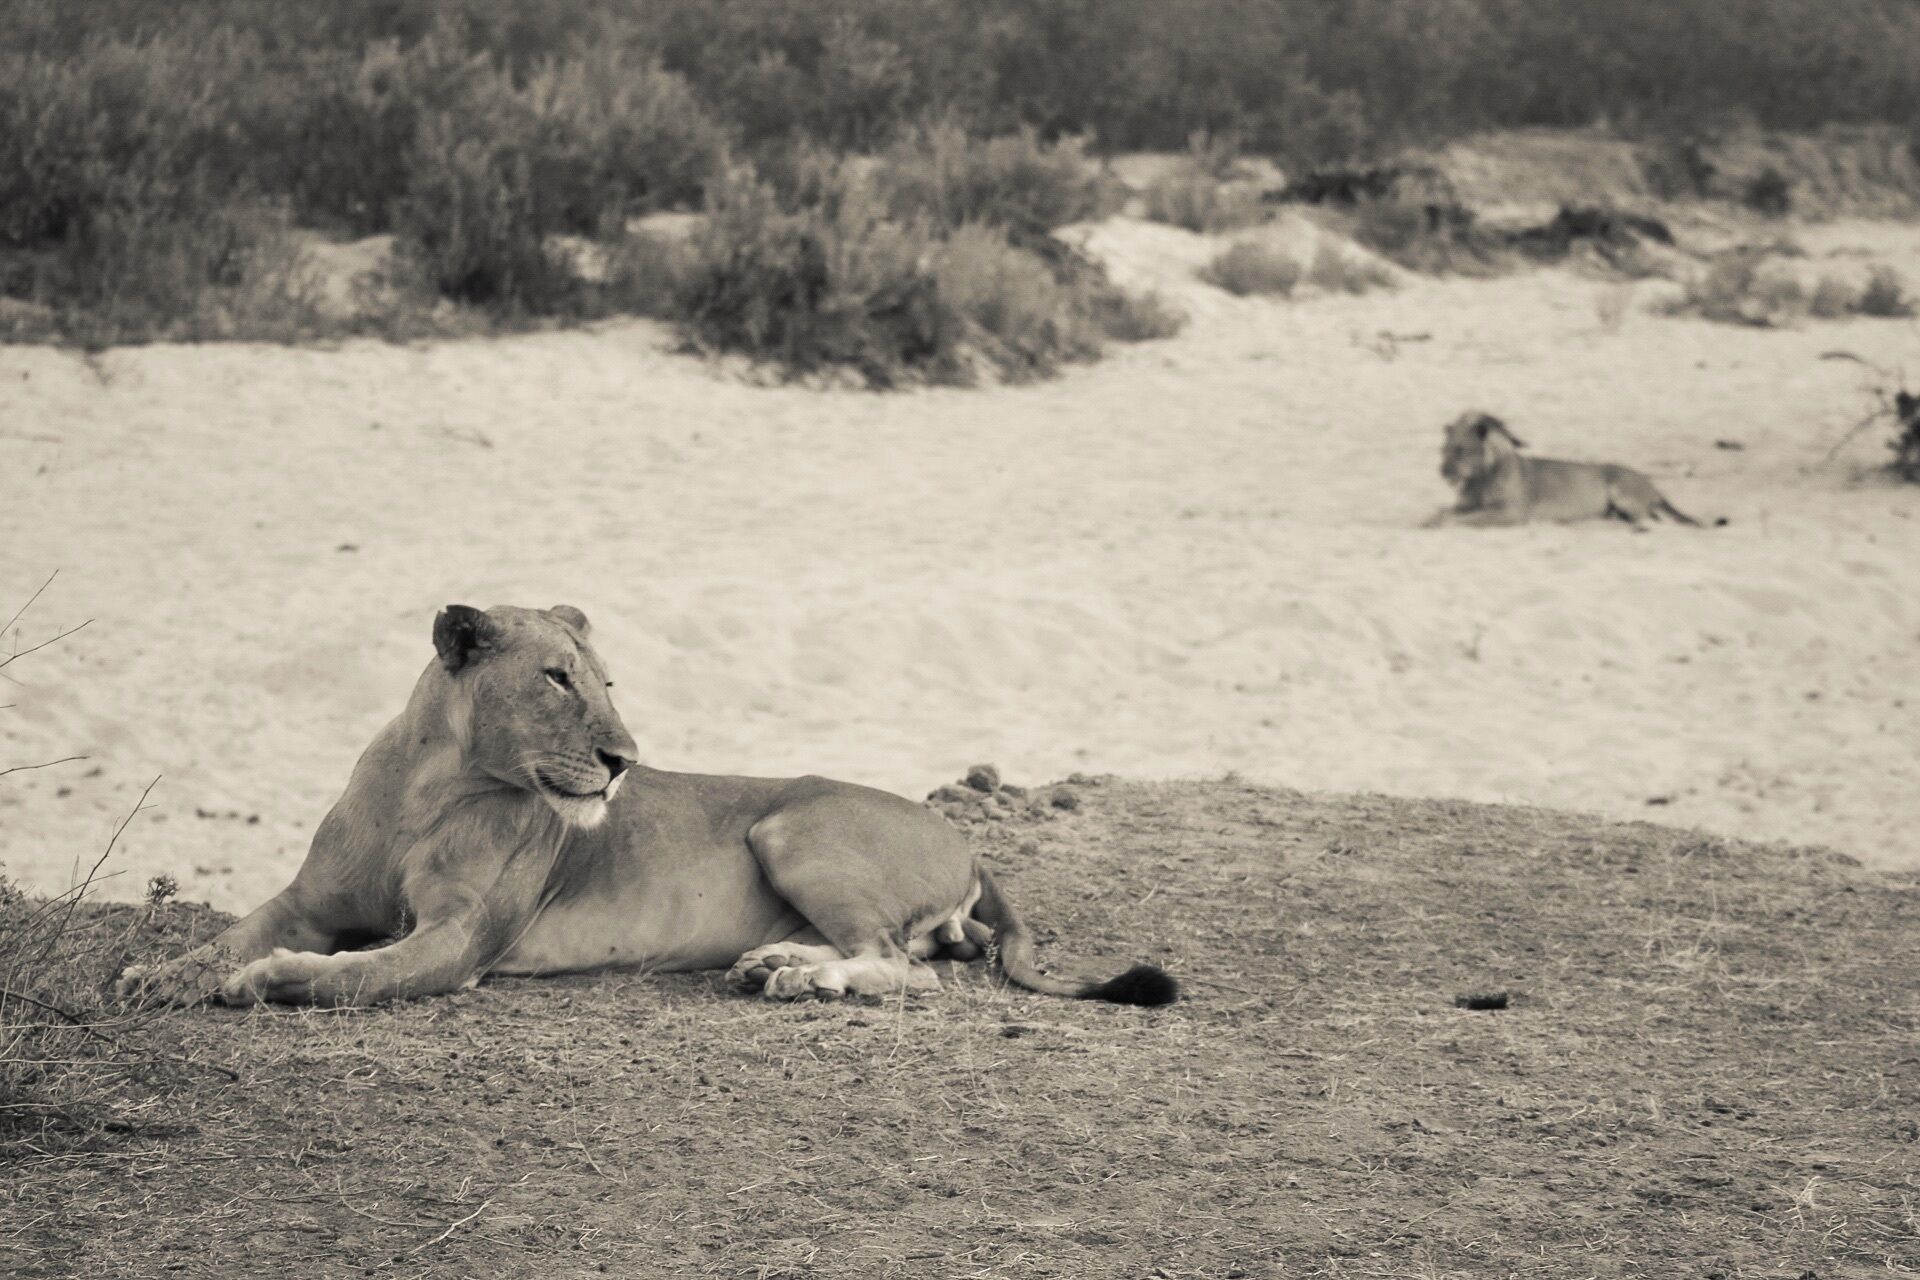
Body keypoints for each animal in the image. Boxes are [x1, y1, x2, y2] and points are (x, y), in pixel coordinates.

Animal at [117, 605, 1177, 1009]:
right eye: (557, 678)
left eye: (609, 682)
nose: (624, 761)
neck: (433, 787)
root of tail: (969, 842)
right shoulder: (306, 902)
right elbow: (223, 939)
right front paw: (153, 976)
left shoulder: (459, 944)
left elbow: (350, 974)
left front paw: (268, 980)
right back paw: (777, 963)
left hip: (790, 826)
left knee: (905, 967)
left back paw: (806, 982)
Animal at [1424, 411, 1710, 528]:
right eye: (1444, 449)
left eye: (1461, 450)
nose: (1442, 471)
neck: (1479, 479)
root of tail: (1651, 482)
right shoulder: (1465, 505)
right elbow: (1441, 511)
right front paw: (1427, 520)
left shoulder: (1511, 514)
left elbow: (1463, 520)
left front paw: (1442, 524)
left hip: (1623, 493)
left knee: (1647, 519)